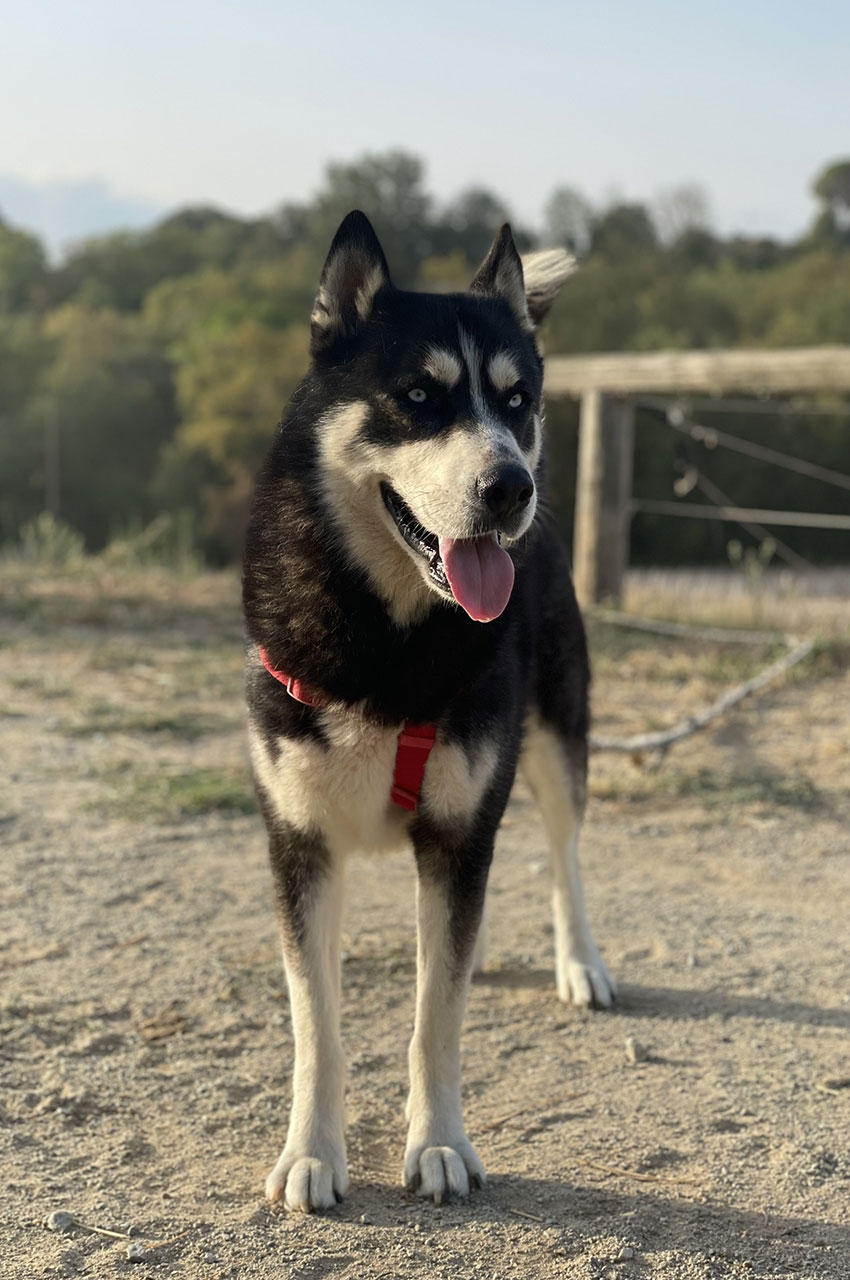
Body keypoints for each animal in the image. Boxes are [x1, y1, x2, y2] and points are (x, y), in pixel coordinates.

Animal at [241, 215, 614, 1213]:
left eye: (518, 400)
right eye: (418, 395)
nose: (512, 487)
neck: (390, 642)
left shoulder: (456, 837)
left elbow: (435, 1016)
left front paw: (440, 1143)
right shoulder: (299, 840)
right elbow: (317, 1025)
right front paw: (311, 1153)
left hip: (558, 738)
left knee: (565, 854)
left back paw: (580, 961)